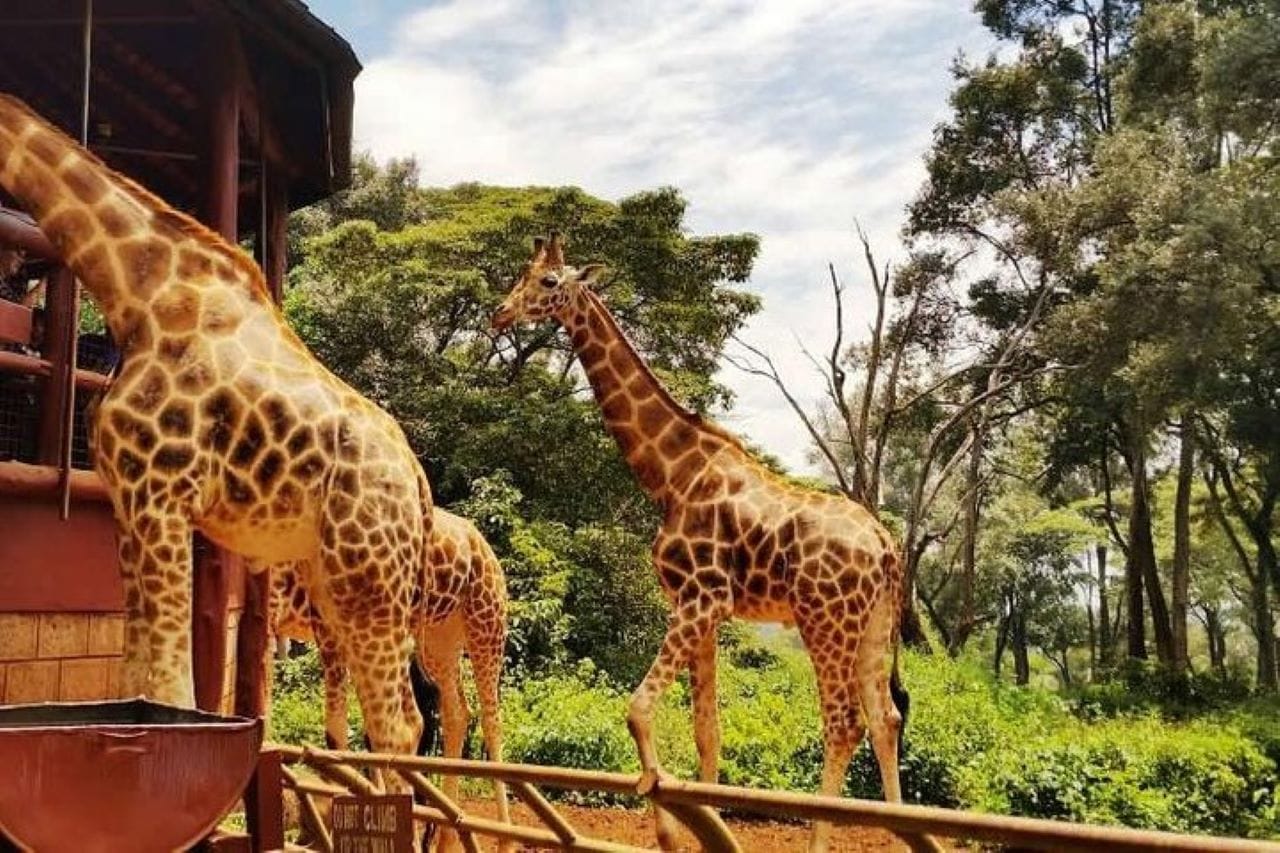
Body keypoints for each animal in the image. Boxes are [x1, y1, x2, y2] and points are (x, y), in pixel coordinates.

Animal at [0, 94, 430, 765]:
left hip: (369, 576)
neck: (138, 293)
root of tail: (415, 480)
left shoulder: (163, 495)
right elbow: (136, 679)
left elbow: (171, 689)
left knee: (398, 721)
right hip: (334, 577)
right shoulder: (130, 502)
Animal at [269, 506, 512, 853]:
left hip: (486, 618)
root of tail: (481, 543)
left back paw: (503, 838)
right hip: (440, 637)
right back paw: (448, 838)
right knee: (456, 713)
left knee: (490, 719)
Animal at [493, 234, 910, 852]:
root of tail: (885, 546)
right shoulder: (705, 610)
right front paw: (711, 821)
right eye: (522, 274)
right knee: (886, 719)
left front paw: (668, 829)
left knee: (844, 724)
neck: (671, 476)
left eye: (548, 282)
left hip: (825, 618)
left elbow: (638, 709)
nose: (500, 313)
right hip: (874, 622)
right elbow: (706, 729)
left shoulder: (699, 598)